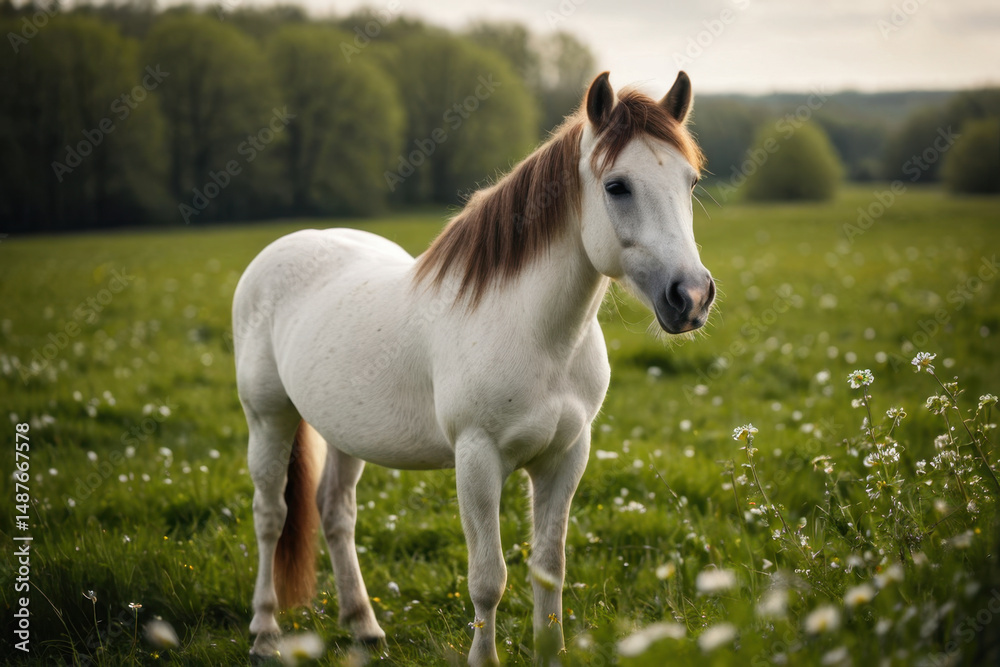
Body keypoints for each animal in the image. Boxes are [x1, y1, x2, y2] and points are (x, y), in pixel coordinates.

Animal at [233, 70, 715, 665]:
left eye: (690, 183)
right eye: (617, 186)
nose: (691, 297)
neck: (537, 336)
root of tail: (285, 247)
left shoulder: (565, 457)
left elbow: (549, 569)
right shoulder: (477, 459)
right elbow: (489, 579)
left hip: (343, 431)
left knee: (336, 513)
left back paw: (364, 626)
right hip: (268, 418)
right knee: (270, 516)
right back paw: (265, 631)